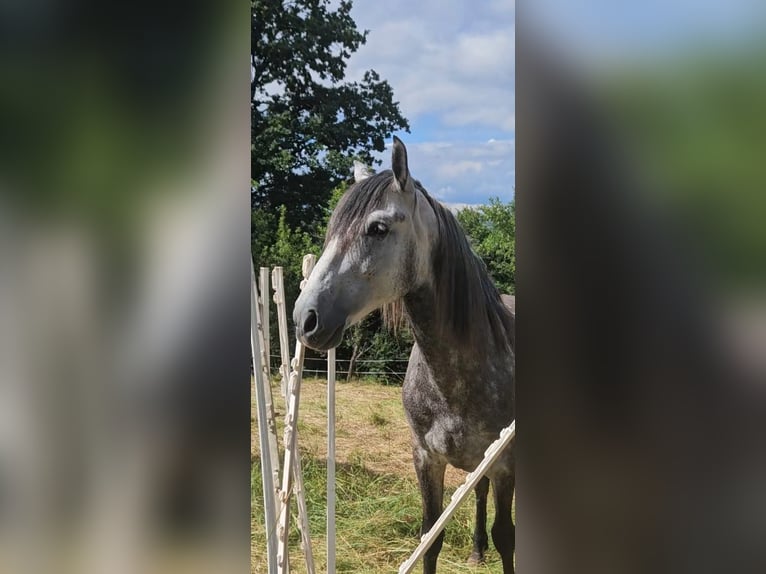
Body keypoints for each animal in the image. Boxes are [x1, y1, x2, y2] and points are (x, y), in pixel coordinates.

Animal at [294, 137, 516, 572]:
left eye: (378, 229)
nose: (304, 318)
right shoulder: (425, 459)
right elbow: (430, 538)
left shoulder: (504, 462)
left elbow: (506, 537)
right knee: (477, 492)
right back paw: (476, 550)